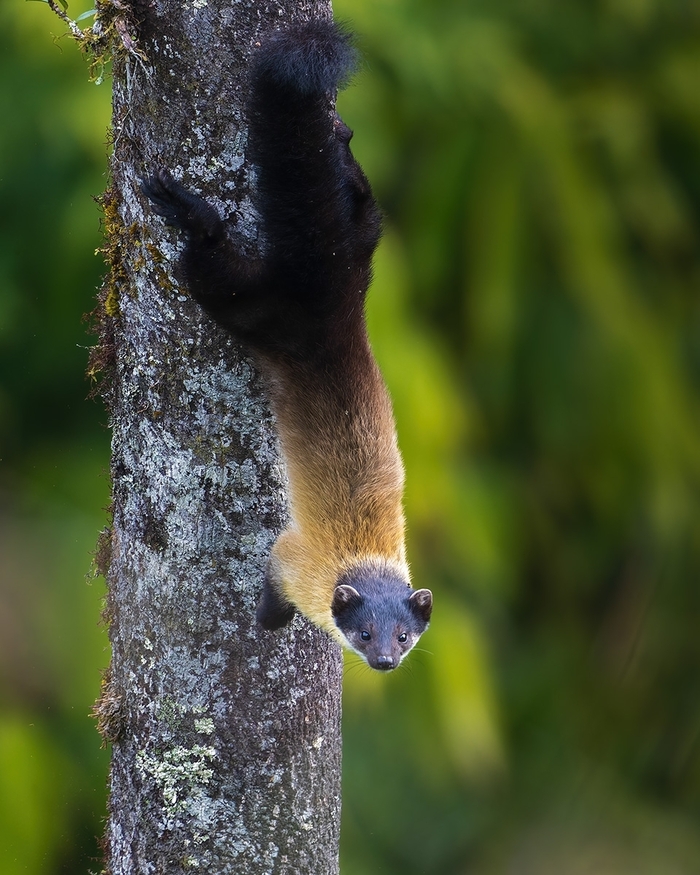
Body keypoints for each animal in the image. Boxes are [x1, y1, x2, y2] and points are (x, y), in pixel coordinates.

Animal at [141, 19, 433, 671]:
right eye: (365, 632)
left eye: (405, 634)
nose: (385, 662)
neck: (365, 556)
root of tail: (330, 293)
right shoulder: (294, 560)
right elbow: (275, 581)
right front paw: (268, 620)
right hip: (251, 305)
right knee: (210, 255)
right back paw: (183, 204)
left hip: (361, 245)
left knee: (360, 200)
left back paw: (342, 137)